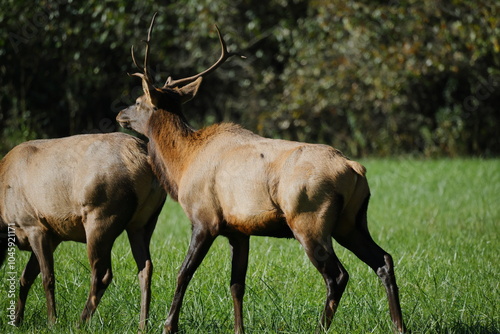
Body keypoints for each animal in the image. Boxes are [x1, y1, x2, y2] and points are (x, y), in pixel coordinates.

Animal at [0, 132, 168, 332]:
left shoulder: (33, 225)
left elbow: (47, 277)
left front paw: (52, 322)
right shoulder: (54, 235)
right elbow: (26, 277)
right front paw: (16, 321)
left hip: (100, 217)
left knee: (102, 274)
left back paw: (80, 323)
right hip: (143, 223)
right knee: (145, 268)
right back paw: (142, 325)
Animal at [117, 14, 406, 334]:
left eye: (139, 101)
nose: (120, 113)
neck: (181, 166)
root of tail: (355, 169)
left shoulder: (205, 219)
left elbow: (183, 273)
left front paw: (169, 325)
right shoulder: (239, 230)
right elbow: (236, 285)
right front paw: (238, 329)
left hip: (309, 219)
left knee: (337, 275)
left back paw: (322, 326)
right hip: (351, 221)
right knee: (383, 259)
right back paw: (398, 325)